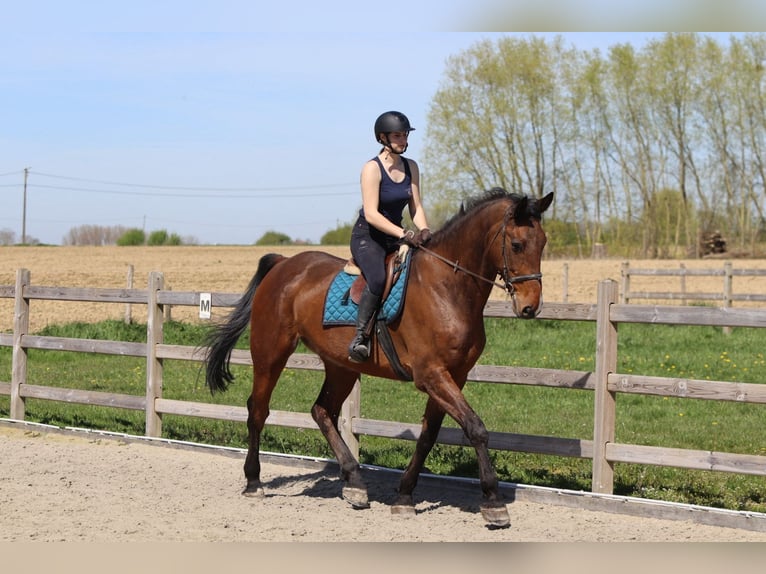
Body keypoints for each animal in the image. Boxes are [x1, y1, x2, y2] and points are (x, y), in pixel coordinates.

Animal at [203, 188, 553, 528]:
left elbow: (428, 436)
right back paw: (254, 481)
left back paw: (355, 483)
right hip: (270, 353)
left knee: (321, 411)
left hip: (341, 367)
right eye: (517, 245)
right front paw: (493, 502)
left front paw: (404, 496)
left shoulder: (454, 376)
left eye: (543, 243)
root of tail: (284, 264)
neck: (446, 287)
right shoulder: (432, 374)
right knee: (258, 410)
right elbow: (476, 428)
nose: (530, 308)